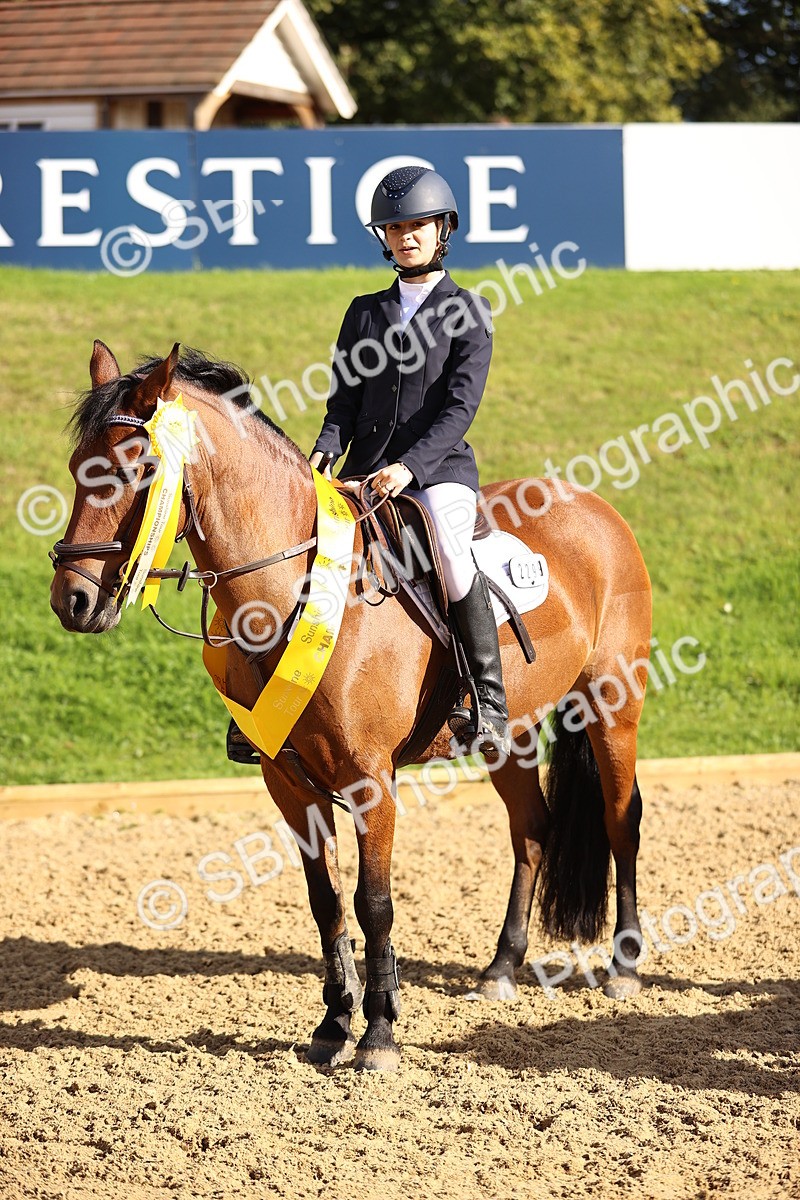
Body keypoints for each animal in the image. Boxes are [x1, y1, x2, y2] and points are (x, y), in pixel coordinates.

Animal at [50, 341, 652, 1072]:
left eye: (138, 469)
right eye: (78, 469)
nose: (72, 601)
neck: (291, 586)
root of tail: (596, 506)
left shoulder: (371, 780)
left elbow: (374, 903)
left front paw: (379, 1032)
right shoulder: (286, 780)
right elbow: (326, 902)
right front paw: (333, 1024)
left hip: (613, 706)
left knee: (622, 820)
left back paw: (624, 965)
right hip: (505, 736)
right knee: (532, 830)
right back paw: (501, 968)